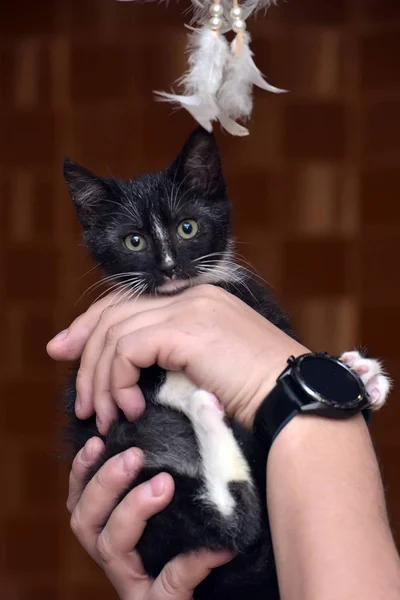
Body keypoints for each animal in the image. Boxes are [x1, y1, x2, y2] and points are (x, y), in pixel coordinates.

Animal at [62, 127, 390, 600]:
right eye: (133, 241)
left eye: (187, 228)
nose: (169, 267)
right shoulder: (93, 380)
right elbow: (145, 380)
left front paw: (360, 374)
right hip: (130, 475)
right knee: (233, 523)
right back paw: (201, 405)